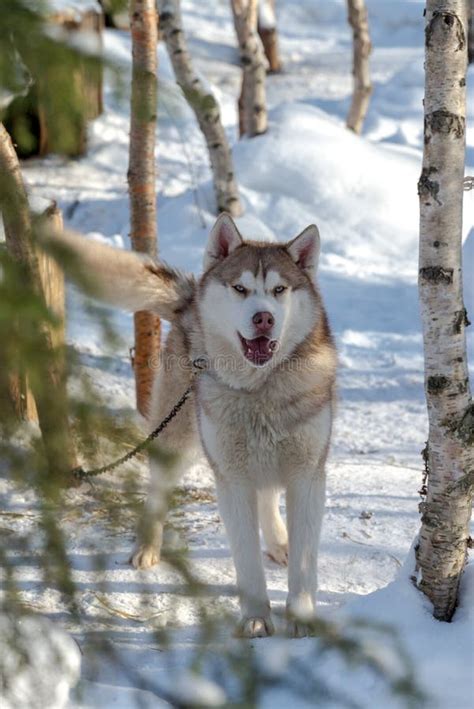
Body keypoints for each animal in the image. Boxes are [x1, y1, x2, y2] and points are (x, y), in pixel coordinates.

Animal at [54, 214, 336, 636]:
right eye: (240, 288)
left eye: (279, 290)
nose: (264, 317)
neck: (260, 390)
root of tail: (191, 303)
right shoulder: (231, 479)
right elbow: (246, 563)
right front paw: (255, 618)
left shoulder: (307, 475)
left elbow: (305, 566)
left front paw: (301, 619)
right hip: (175, 440)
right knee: (157, 493)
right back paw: (146, 548)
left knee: (267, 495)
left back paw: (278, 543)